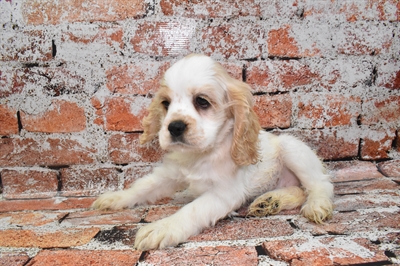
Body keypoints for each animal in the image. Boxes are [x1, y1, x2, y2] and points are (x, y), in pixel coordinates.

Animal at [92, 53, 332, 249]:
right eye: (165, 103)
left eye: (202, 101)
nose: (174, 127)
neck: (202, 154)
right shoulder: (169, 174)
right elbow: (142, 186)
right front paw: (114, 198)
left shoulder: (224, 193)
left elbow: (192, 209)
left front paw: (163, 227)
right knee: (299, 190)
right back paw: (270, 202)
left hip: (292, 149)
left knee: (318, 184)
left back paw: (316, 205)